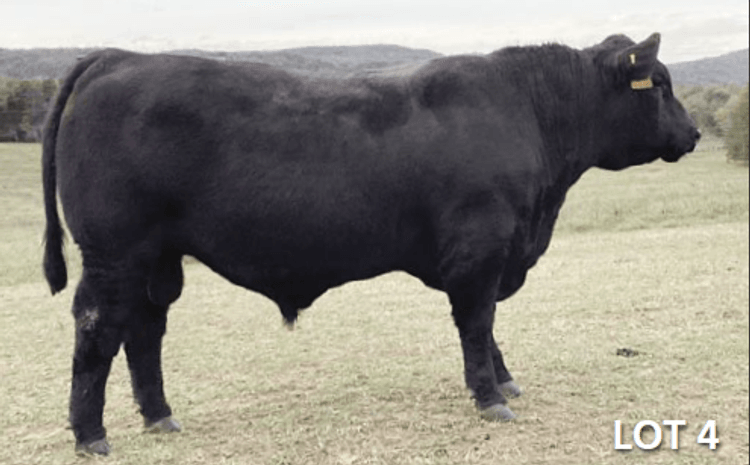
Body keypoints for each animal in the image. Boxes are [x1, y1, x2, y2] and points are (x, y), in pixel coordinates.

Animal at [42, 32, 699, 455]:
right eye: (660, 84)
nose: (693, 133)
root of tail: (116, 57)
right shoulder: (480, 252)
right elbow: (477, 323)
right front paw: (490, 396)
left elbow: (486, 327)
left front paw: (503, 380)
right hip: (114, 254)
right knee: (98, 327)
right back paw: (90, 435)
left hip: (156, 259)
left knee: (145, 330)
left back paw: (160, 417)